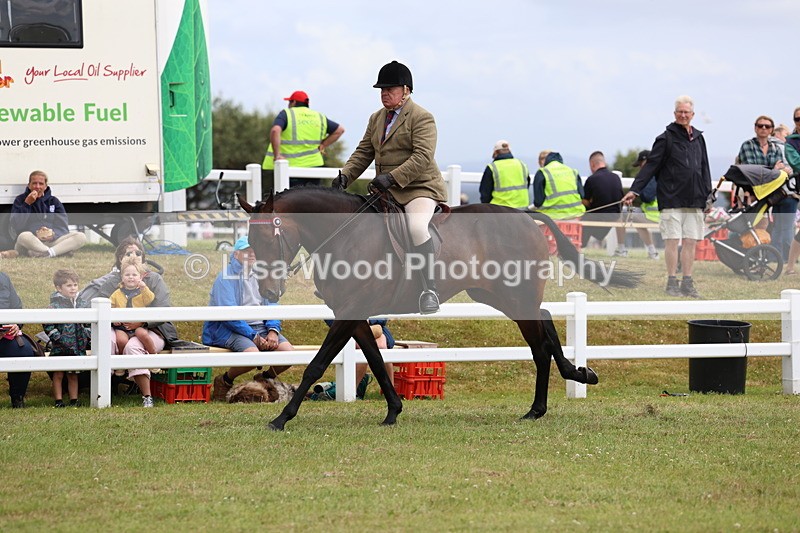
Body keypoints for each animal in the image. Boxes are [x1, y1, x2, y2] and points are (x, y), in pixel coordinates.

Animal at [239, 187, 641, 431]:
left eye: (268, 237)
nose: (269, 290)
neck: (345, 235)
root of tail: (525, 216)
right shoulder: (353, 315)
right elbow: (376, 362)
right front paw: (393, 411)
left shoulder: (349, 312)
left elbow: (316, 365)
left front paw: (281, 418)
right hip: (497, 295)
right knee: (544, 322)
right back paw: (571, 378)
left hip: (515, 296)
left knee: (539, 344)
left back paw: (541, 405)